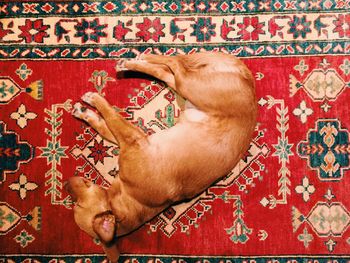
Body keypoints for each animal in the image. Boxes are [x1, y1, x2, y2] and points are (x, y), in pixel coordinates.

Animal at [65, 52, 258, 262]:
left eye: (77, 203)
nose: (66, 183)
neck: (131, 196)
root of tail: (246, 79)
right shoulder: (133, 139)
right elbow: (103, 125)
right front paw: (86, 113)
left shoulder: (133, 138)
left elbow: (110, 116)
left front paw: (96, 101)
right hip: (187, 87)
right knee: (167, 72)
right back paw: (135, 62)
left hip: (190, 85)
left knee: (174, 62)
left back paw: (135, 60)